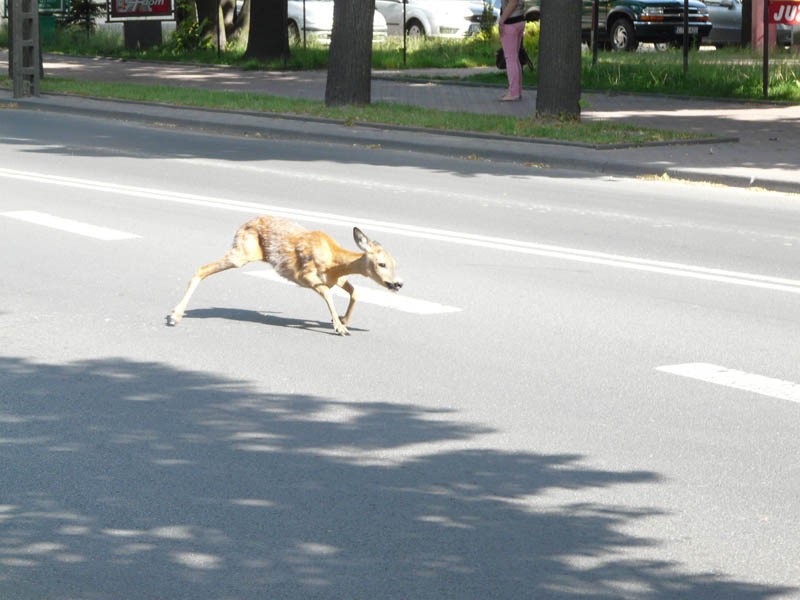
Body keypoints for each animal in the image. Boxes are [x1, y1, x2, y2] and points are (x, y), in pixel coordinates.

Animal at [166, 216, 404, 336]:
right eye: (382, 264)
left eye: (395, 263)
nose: (399, 283)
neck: (334, 261)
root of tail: (241, 225)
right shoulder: (306, 275)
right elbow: (328, 295)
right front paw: (340, 328)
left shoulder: (337, 278)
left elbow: (354, 292)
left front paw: (343, 320)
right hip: (242, 252)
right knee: (201, 269)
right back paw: (174, 316)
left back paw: (175, 314)